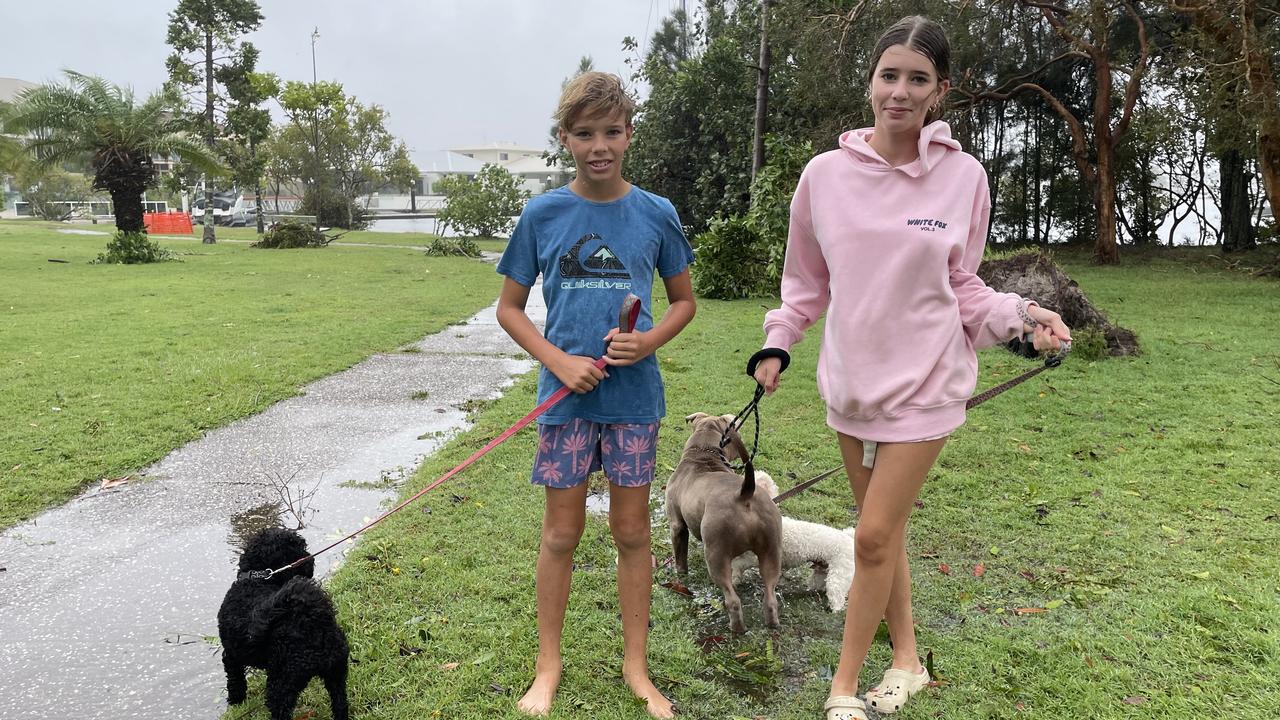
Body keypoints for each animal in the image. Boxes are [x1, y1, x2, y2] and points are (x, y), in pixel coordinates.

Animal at [217, 525, 350, 712]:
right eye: (299, 548)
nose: (310, 560)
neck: (257, 580)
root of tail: (313, 626)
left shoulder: (231, 656)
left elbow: (235, 682)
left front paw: (236, 701)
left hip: (282, 685)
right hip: (336, 672)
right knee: (340, 704)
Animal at [670, 412, 778, 630]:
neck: (703, 452)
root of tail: (746, 493)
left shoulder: (677, 526)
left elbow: (680, 558)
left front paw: (681, 576)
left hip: (716, 554)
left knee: (732, 600)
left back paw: (736, 629)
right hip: (771, 551)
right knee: (770, 597)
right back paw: (772, 624)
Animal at [737, 471, 855, 609]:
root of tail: (850, 538)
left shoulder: (755, 557)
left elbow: (737, 565)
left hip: (839, 574)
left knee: (837, 595)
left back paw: (834, 609)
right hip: (822, 571)